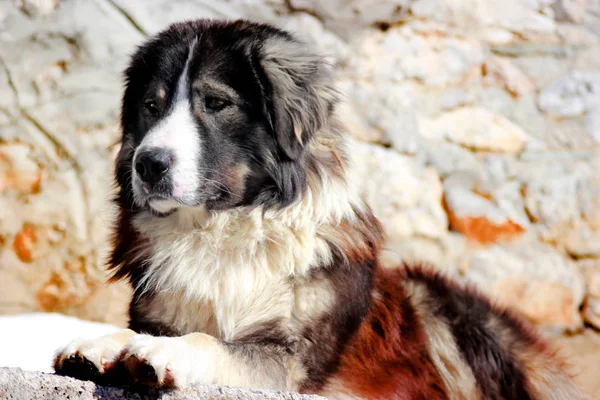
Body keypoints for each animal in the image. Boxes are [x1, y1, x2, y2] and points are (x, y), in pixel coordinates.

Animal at [52, 19, 592, 400]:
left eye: (216, 103)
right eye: (152, 105)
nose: (148, 164)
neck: (222, 229)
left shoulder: (291, 362)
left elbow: (213, 344)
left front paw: (161, 352)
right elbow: (132, 329)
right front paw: (99, 345)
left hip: (445, 308)